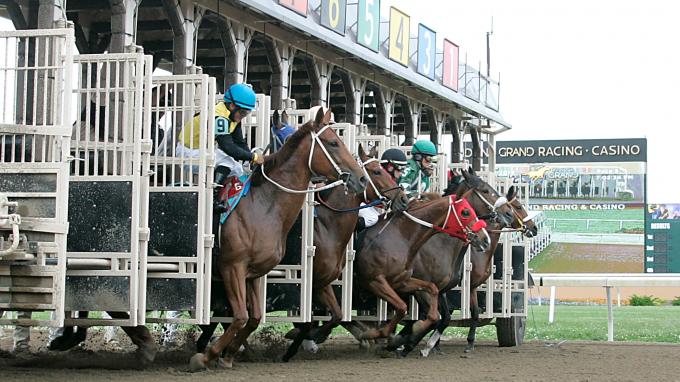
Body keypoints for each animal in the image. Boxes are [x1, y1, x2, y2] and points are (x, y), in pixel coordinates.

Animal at [189, 107, 370, 370]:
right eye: (334, 143)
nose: (361, 179)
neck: (263, 206)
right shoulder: (232, 266)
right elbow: (241, 316)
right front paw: (207, 356)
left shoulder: (253, 272)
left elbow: (253, 318)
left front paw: (228, 354)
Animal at [282, 144, 410, 362]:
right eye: (376, 171)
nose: (403, 198)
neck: (327, 228)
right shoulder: (311, 282)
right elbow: (310, 321)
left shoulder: (322, 282)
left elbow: (336, 315)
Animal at [350, 188, 488, 350]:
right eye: (465, 212)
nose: (485, 239)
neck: (401, 238)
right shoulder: (374, 281)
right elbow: (403, 308)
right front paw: (384, 337)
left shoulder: (402, 282)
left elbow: (434, 308)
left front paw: (407, 337)